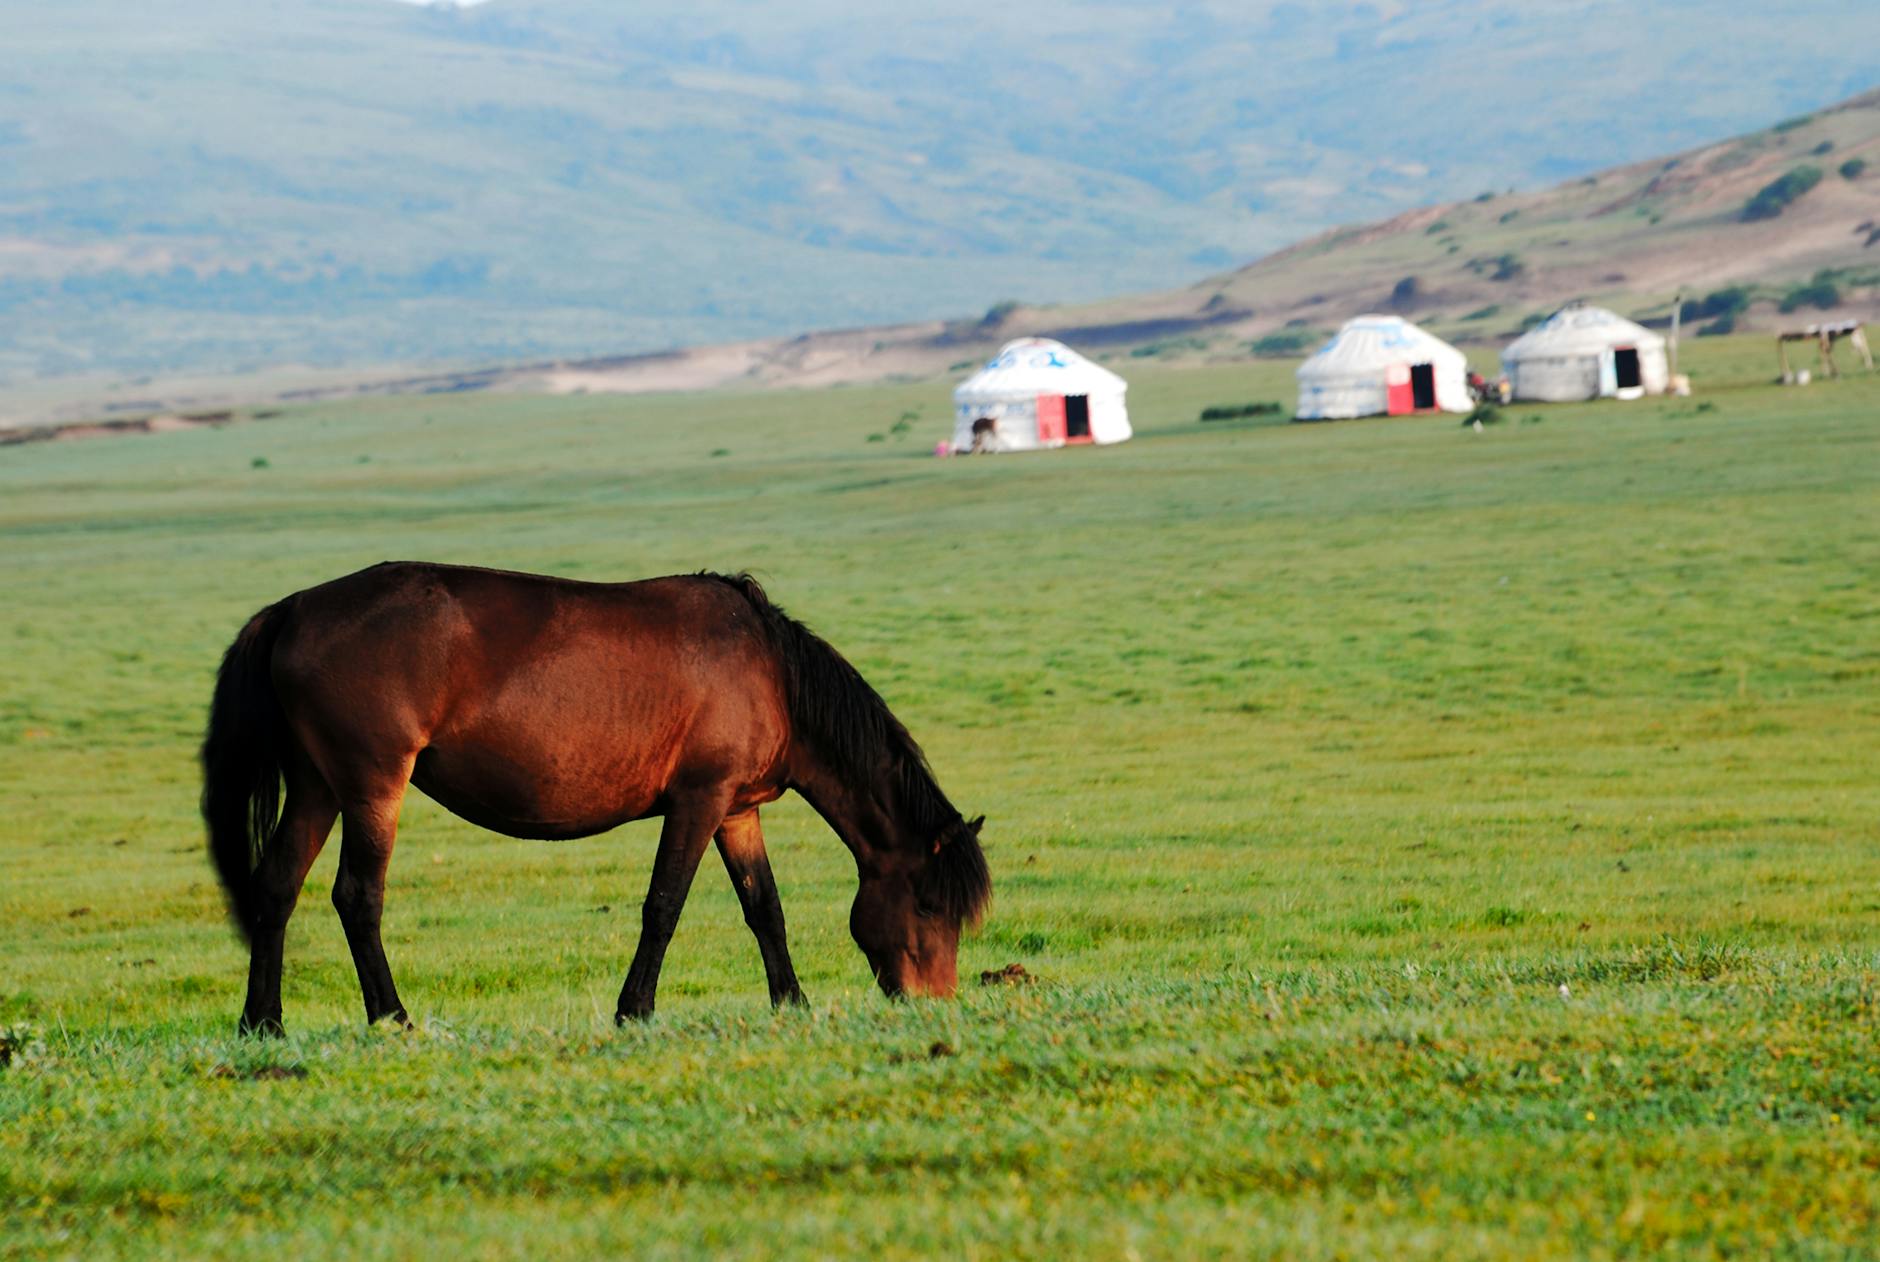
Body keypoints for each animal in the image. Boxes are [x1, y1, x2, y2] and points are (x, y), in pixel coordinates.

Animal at [200, 561, 990, 1035]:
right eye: (928, 904)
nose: (934, 1002)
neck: (772, 673)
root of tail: (293, 610)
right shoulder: (700, 801)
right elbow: (664, 905)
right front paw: (635, 1010)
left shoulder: (738, 810)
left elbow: (765, 909)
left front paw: (789, 1001)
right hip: (372, 788)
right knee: (357, 896)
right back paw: (391, 1015)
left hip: (317, 788)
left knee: (276, 889)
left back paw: (262, 1023)